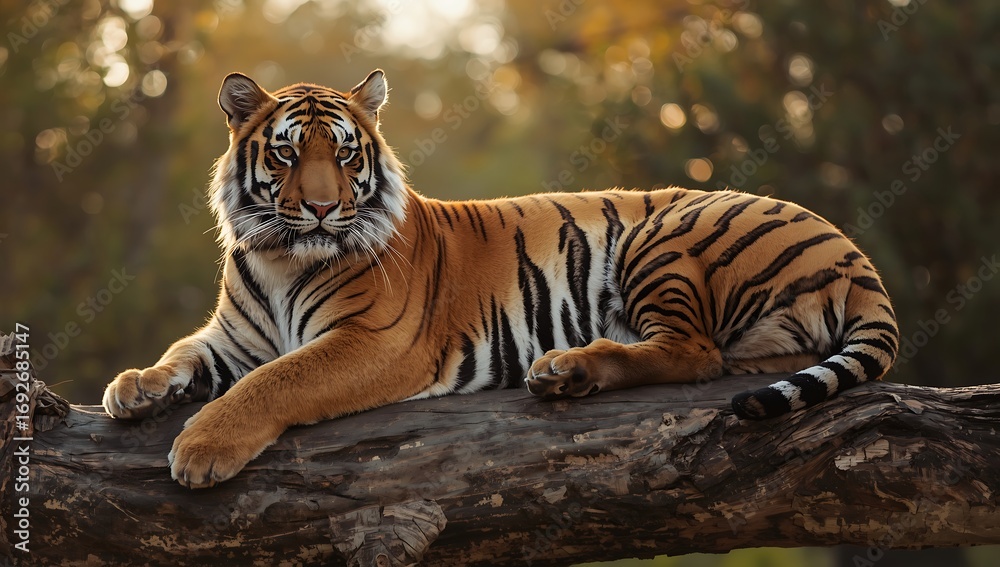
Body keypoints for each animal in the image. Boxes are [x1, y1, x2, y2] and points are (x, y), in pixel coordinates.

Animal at [102, 69, 899, 488]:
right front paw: (133, 387)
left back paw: (567, 369)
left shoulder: (373, 341)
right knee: (727, 357)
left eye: (347, 153)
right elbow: (184, 353)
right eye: (289, 154)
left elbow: (275, 381)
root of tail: (858, 255)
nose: (325, 208)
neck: (276, 255)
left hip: (665, 232)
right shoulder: (234, 337)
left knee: (693, 353)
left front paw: (201, 448)